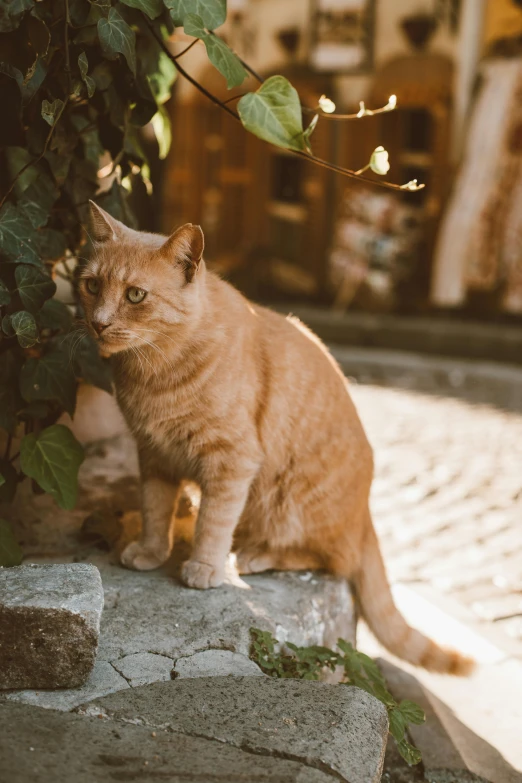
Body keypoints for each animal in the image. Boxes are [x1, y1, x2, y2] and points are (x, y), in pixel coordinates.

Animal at [80, 205, 472, 676]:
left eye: (136, 295)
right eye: (92, 285)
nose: (98, 322)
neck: (153, 371)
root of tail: (365, 514)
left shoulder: (232, 461)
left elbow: (214, 520)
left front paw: (203, 566)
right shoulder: (154, 456)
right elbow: (156, 510)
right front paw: (153, 551)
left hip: (289, 501)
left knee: (330, 561)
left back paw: (251, 556)